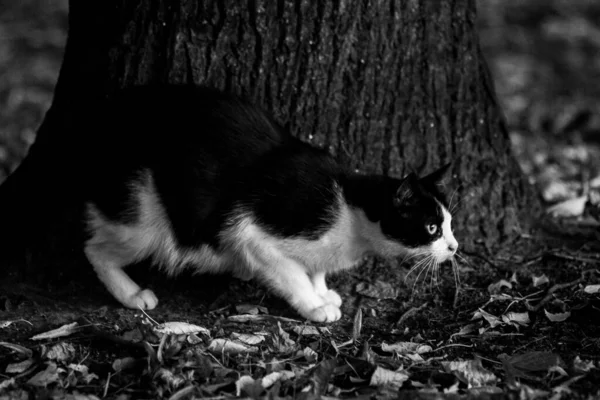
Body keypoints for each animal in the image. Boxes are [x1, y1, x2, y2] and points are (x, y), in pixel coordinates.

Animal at [79, 86, 460, 324]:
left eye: (449, 224)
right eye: (431, 227)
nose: (455, 247)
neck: (348, 209)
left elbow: (315, 269)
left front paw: (324, 292)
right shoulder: (251, 232)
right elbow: (292, 275)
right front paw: (314, 305)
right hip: (144, 221)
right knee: (94, 249)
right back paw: (132, 295)